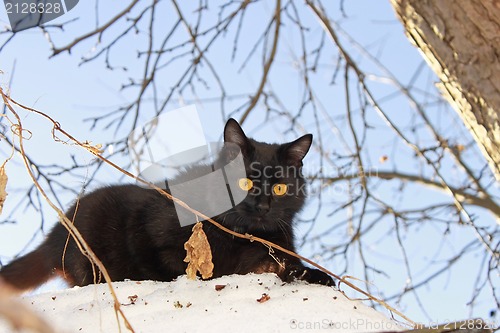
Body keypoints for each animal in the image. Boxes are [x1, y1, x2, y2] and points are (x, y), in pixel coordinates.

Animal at [0, 118, 336, 290]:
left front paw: (314, 276)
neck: (240, 236)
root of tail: (56, 233)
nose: (263, 207)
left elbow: (285, 267)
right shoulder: (156, 238)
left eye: (279, 187)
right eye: (244, 183)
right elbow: (202, 268)